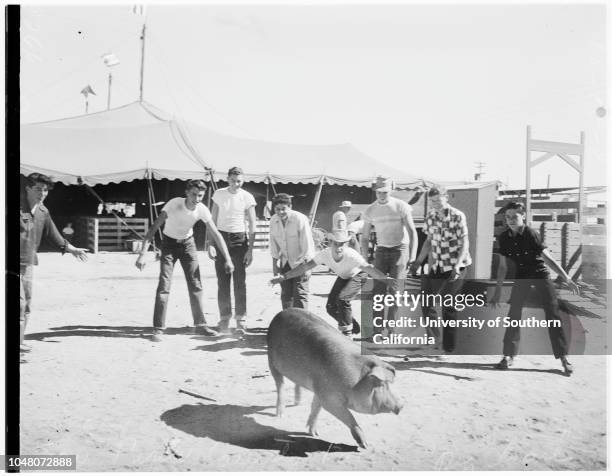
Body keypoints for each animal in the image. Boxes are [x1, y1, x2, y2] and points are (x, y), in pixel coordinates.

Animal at [266, 306, 402, 448]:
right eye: (381, 384)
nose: (401, 405)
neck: (355, 382)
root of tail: (281, 313)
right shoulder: (329, 399)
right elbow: (348, 416)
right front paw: (365, 445)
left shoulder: (320, 391)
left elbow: (315, 408)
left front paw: (315, 434)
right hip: (271, 360)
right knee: (280, 385)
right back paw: (280, 415)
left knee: (295, 384)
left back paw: (297, 403)